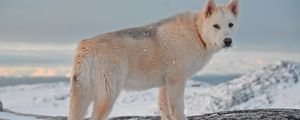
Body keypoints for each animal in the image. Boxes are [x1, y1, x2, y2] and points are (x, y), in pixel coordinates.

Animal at [68, 0, 239, 119]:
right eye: (216, 26)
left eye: (230, 24)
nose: (228, 41)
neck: (196, 33)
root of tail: (87, 44)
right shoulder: (177, 81)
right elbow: (178, 110)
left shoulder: (164, 84)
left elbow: (166, 112)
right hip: (108, 95)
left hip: (84, 95)